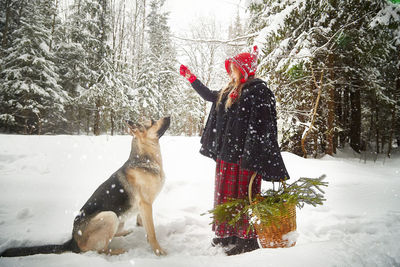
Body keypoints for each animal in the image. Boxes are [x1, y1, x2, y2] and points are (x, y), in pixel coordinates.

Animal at [0, 116, 170, 258]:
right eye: (153, 121)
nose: (168, 116)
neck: (145, 159)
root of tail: (73, 241)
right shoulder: (146, 204)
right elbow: (152, 232)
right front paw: (158, 250)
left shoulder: (143, 207)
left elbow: (142, 223)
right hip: (110, 216)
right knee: (100, 250)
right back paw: (118, 251)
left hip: (118, 218)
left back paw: (125, 232)